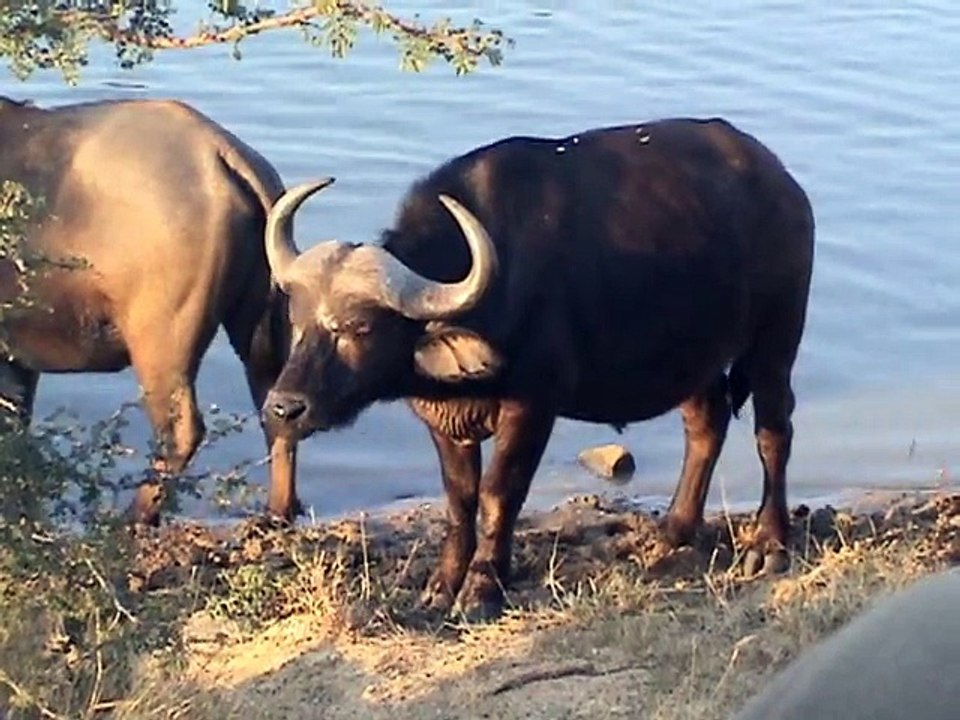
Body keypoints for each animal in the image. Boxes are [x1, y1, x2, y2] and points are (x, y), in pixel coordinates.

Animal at [0, 96, 299, 524]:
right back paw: (275, 513)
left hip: (160, 340)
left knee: (180, 433)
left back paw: (133, 516)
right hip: (258, 325)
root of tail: (222, 151)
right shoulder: (18, 359)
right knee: (278, 412)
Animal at [261, 118, 815, 620]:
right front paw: (441, 585)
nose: (284, 408)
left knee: (774, 431)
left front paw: (482, 588)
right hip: (693, 357)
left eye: (359, 327)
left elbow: (499, 493)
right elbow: (460, 500)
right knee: (706, 423)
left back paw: (767, 544)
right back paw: (673, 533)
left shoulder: (533, 404)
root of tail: (784, 185)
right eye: (298, 318)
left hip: (776, 338)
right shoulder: (443, 420)